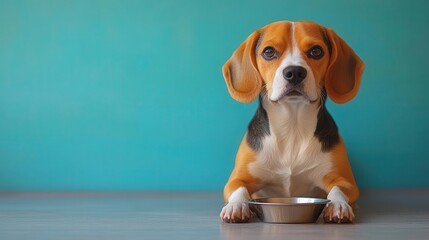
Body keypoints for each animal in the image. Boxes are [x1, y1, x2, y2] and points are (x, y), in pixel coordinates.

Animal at [219, 21, 362, 224]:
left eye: (316, 51)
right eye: (269, 52)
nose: (294, 72)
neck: (292, 126)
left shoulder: (345, 180)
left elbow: (337, 191)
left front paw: (338, 205)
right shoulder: (237, 178)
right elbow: (239, 190)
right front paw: (236, 206)